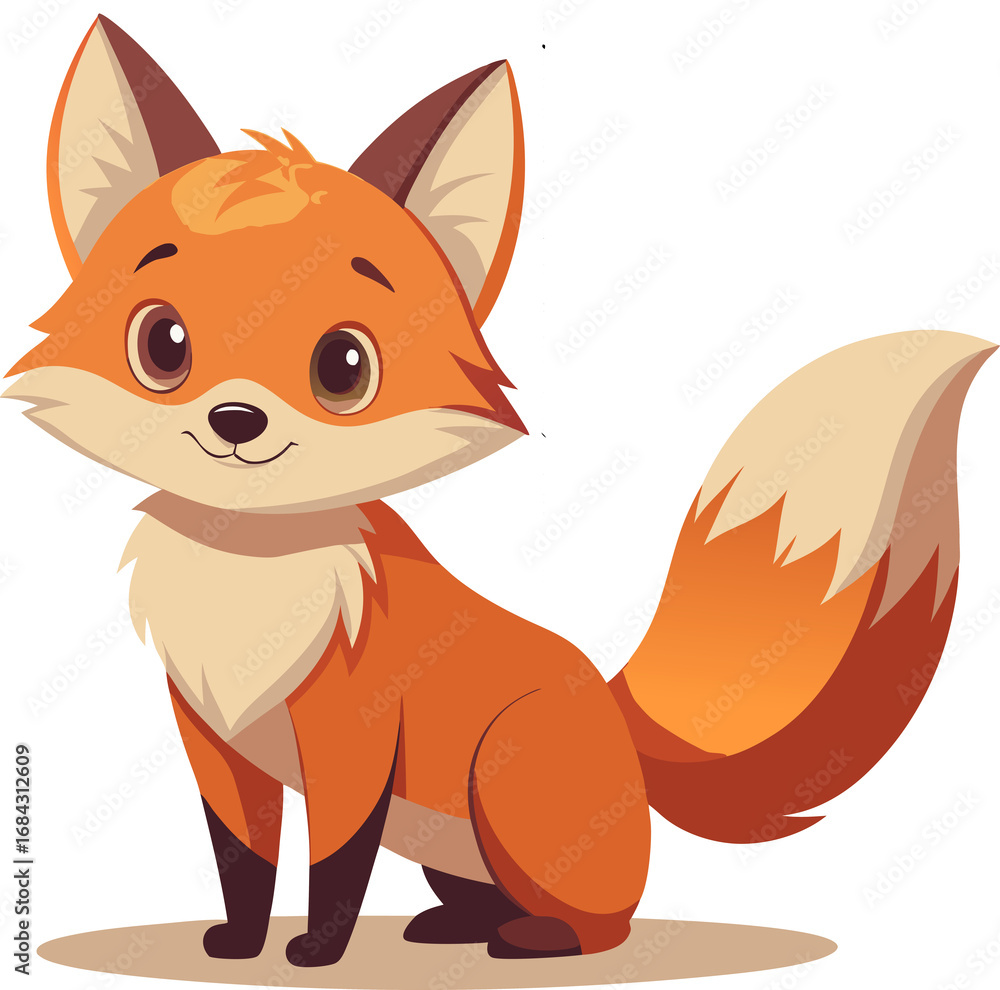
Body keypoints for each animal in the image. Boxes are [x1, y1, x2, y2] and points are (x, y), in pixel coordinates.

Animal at [4, 13, 995, 969]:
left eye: (344, 365)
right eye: (163, 345)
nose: (237, 421)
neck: (248, 583)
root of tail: (610, 706)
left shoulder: (354, 742)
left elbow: (333, 864)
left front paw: (315, 953)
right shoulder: (214, 742)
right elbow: (240, 859)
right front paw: (241, 945)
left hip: (505, 782)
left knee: (607, 923)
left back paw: (534, 941)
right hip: (454, 842)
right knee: (485, 898)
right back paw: (456, 928)